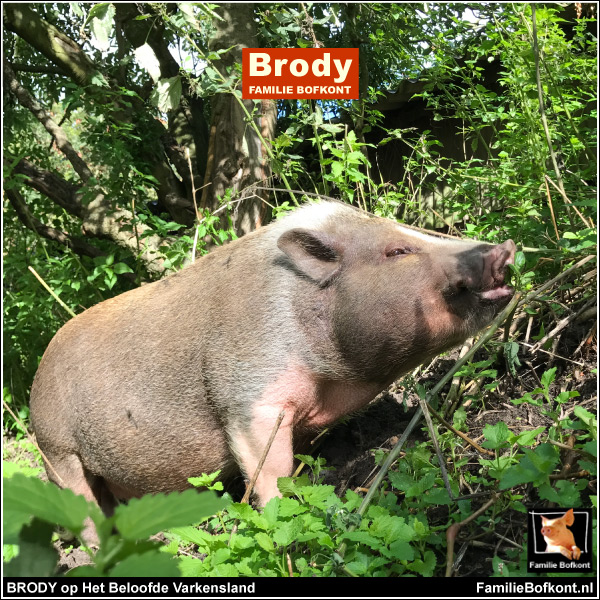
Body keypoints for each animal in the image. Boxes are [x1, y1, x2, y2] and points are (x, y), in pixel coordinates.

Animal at [29, 203, 516, 544]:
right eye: (398, 251)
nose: (504, 247)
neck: (334, 381)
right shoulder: (248, 397)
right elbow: (271, 469)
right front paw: (284, 515)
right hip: (57, 449)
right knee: (83, 508)